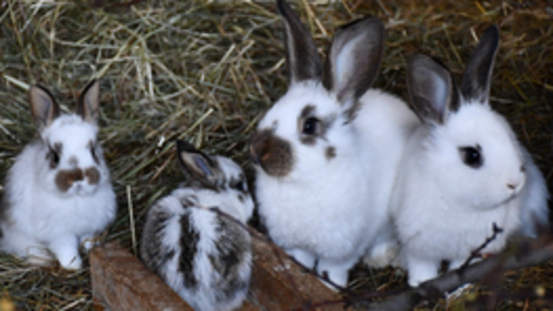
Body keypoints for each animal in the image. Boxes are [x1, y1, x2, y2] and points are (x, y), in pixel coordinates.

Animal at [0, 80, 117, 270]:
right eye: (55, 156)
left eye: (93, 151)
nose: (77, 179)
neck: (76, 199)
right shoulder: (59, 233)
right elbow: (66, 248)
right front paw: (73, 265)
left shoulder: (90, 226)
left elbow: (87, 238)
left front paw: (92, 248)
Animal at [248, 0, 420, 288]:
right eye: (272, 109)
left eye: (309, 126)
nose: (258, 152)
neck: (302, 182)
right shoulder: (299, 245)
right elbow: (302, 262)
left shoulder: (342, 248)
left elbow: (333, 269)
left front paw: (330, 286)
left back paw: (380, 257)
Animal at [390, 25, 548, 288]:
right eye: (472, 155)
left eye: (510, 138)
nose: (514, 184)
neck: (458, 201)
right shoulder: (418, 245)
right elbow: (422, 267)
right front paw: (419, 284)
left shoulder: (473, 249)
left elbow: (459, 268)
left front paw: (457, 289)